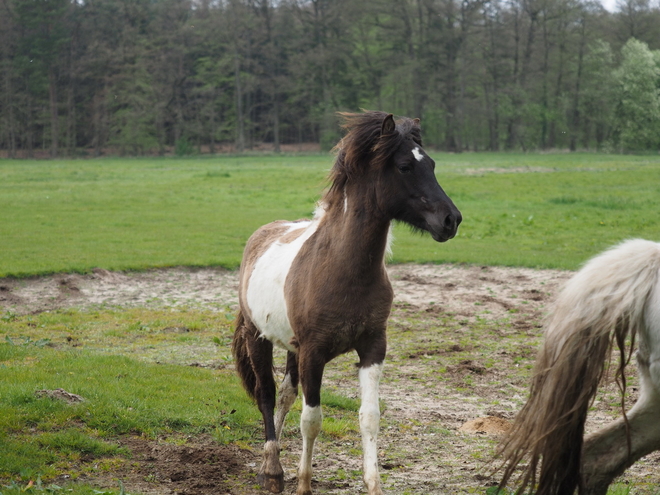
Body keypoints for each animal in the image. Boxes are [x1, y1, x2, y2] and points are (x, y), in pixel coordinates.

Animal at [235, 110, 462, 494]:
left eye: (431, 163)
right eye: (404, 166)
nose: (451, 220)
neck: (343, 270)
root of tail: (260, 235)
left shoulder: (372, 347)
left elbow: (369, 417)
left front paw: (374, 484)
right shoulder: (314, 353)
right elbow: (312, 419)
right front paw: (303, 484)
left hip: (292, 347)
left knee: (285, 394)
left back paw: (273, 461)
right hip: (258, 337)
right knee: (267, 394)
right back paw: (272, 470)